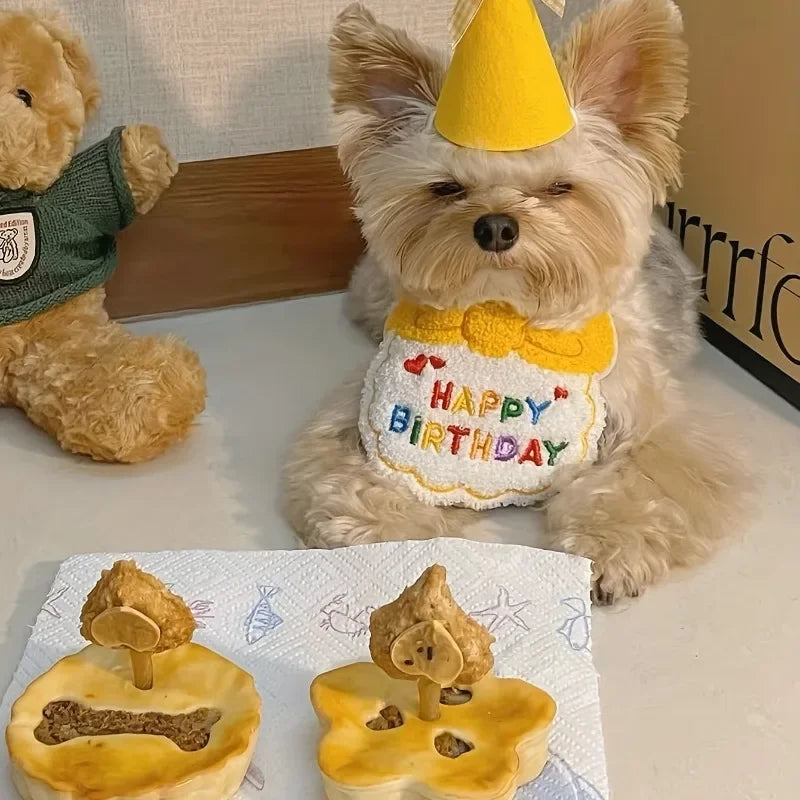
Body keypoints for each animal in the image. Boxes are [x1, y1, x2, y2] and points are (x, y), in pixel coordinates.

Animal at [284, 0, 748, 600]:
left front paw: (610, 547)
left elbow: (638, 482)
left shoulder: (656, 425)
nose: (497, 226)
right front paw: (386, 540)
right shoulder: (363, 418)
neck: (503, 317)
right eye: (446, 188)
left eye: (559, 188)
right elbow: (355, 481)